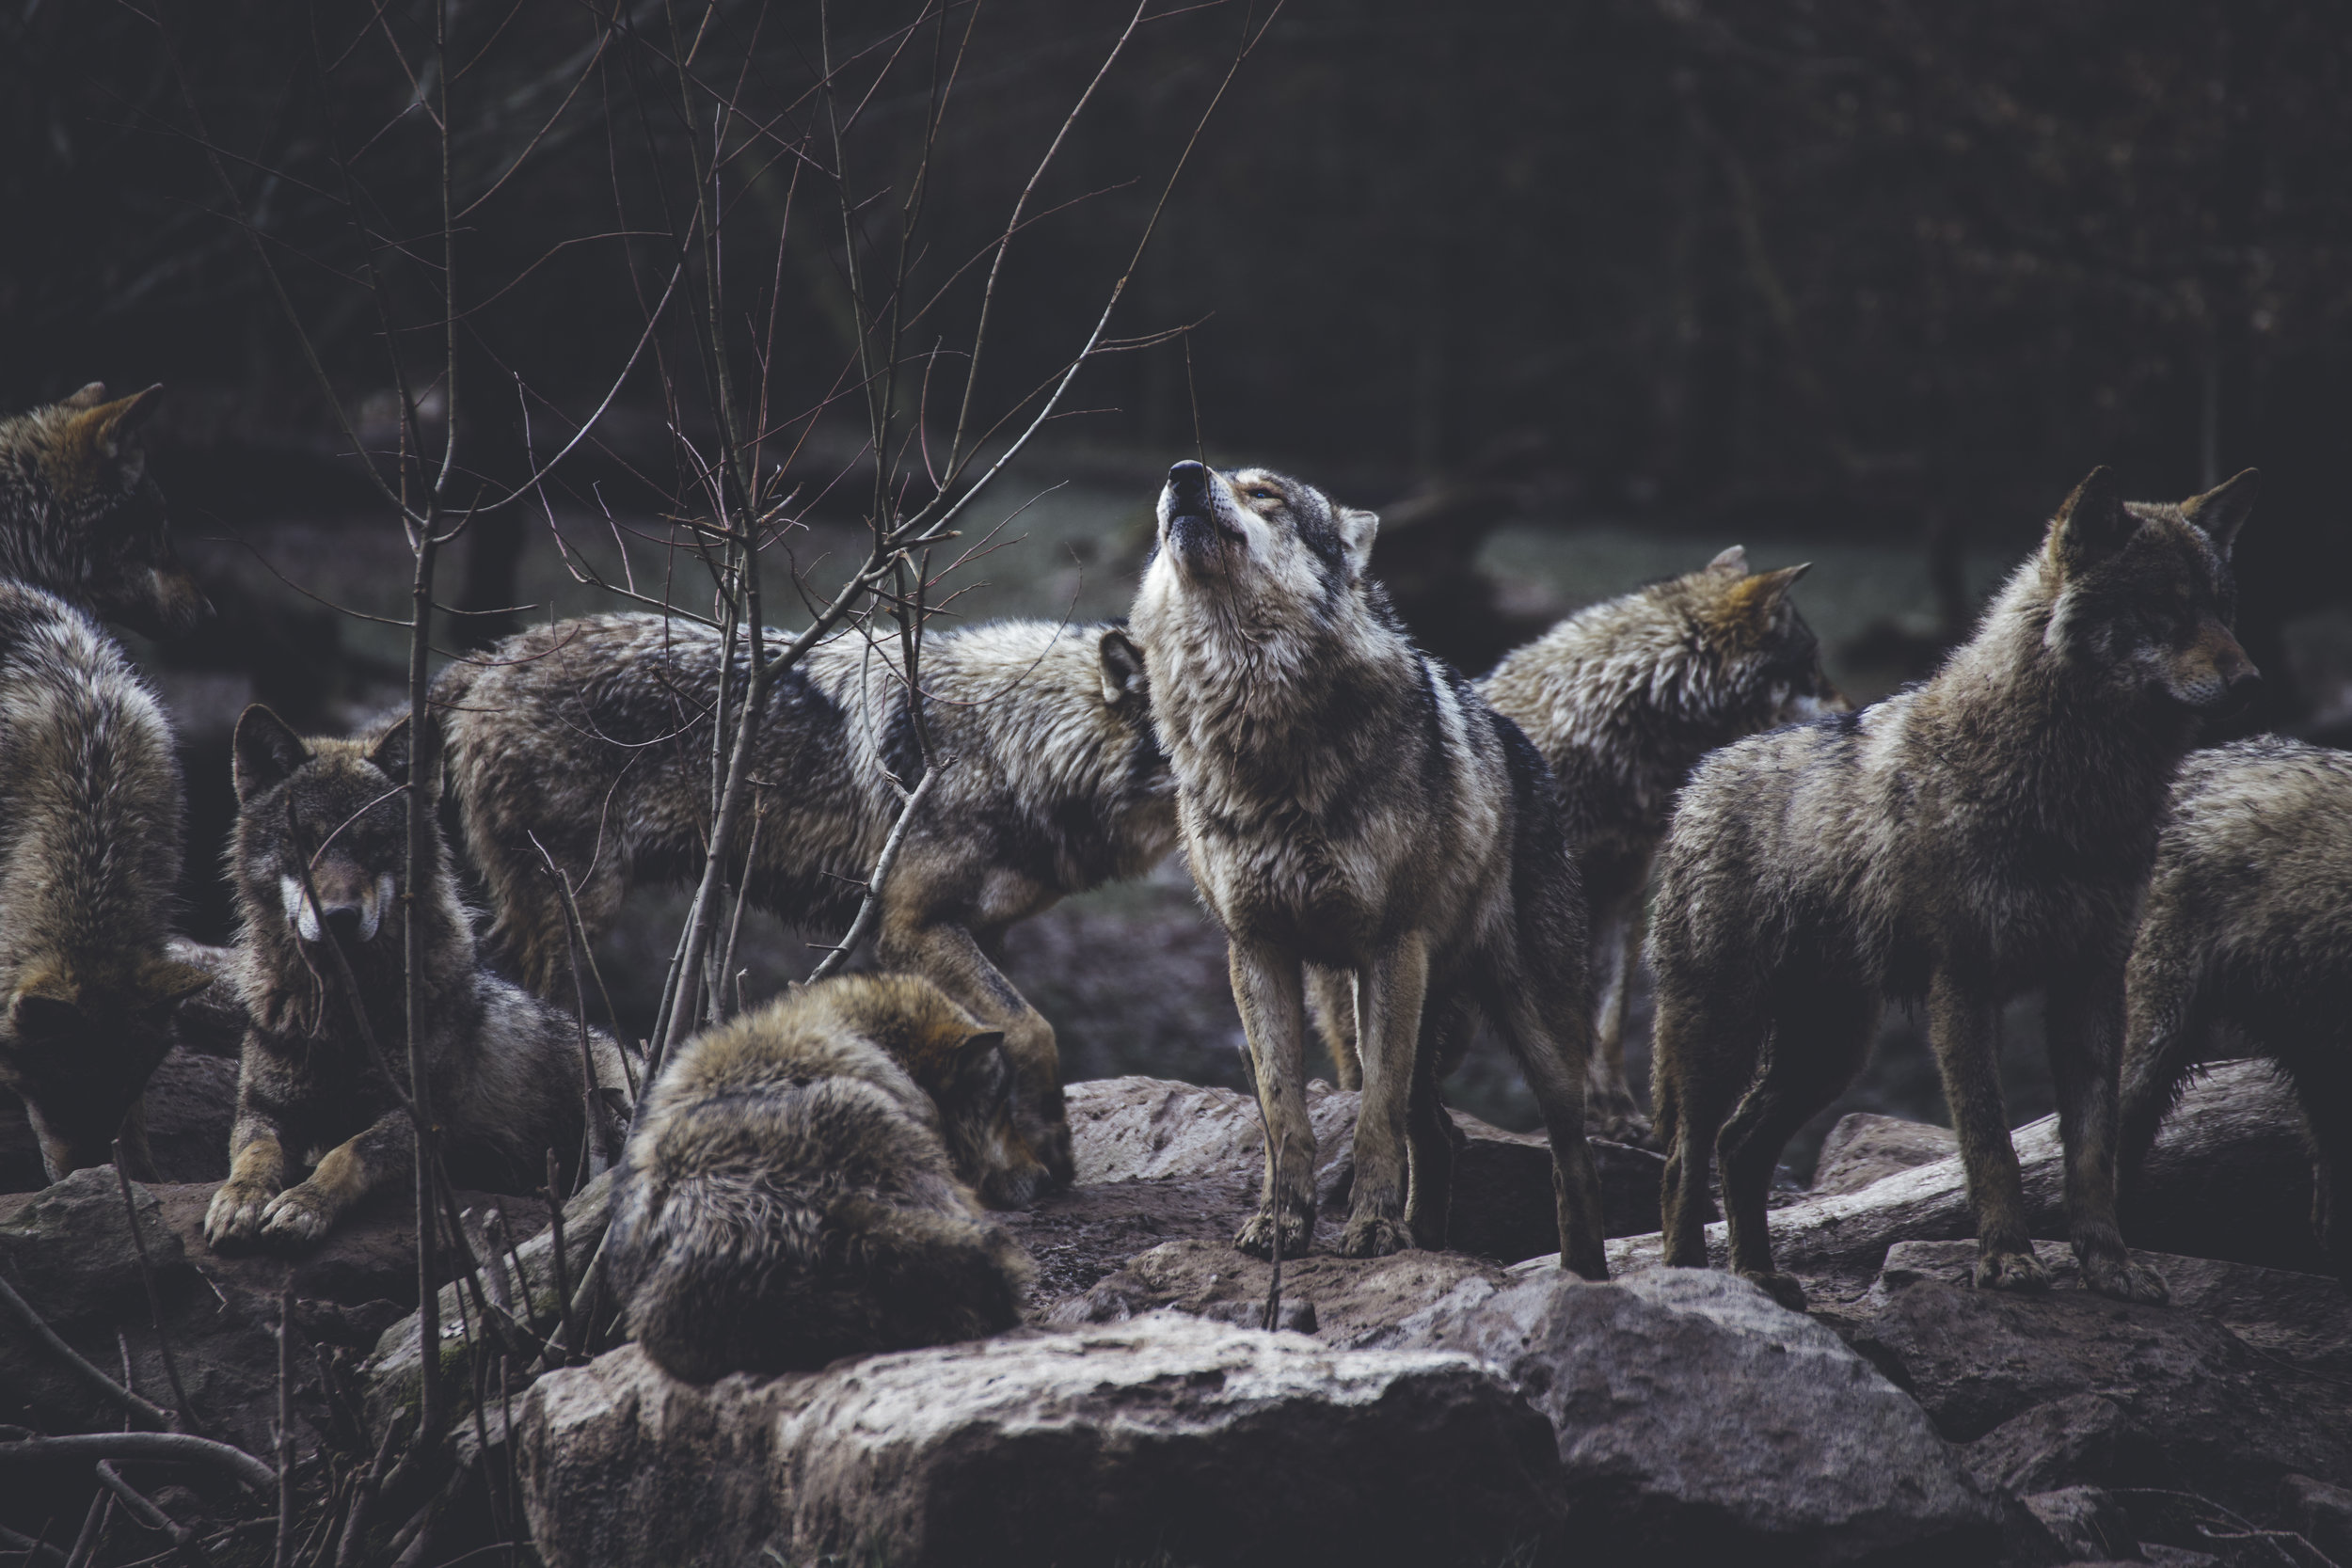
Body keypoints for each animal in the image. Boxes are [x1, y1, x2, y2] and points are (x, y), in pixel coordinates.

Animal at [204, 705, 637, 1249]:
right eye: (305, 840)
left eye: (375, 842)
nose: (339, 917)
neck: (344, 1015)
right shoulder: (263, 1110)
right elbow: (256, 1154)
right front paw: (238, 1199)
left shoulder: (420, 1122)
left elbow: (346, 1153)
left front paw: (304, 1204)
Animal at [435, 613, 1173, 1196]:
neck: (1014, 742)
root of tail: (489, 657)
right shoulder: (911, 927)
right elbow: (1033, 1028)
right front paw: (1051, 1151)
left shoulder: (980, 932)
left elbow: (997, 1041)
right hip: (578, 910)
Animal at [1130, 459, 1608, 1275]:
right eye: (1198, 476)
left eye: (1266, 493)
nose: (1184, 474)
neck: (1258, 727)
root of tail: (1521, 743)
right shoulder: (1256, 949)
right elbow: (1283, 1113)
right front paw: (1282, 1226)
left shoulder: (1389, 946)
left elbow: (1373, 1121)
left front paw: (1375, 1231)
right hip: (1363, 1011)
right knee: (1442, 1135)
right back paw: (1429, 1239)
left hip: (1529, 1029)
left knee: (1569, 1160)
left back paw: (1584, 1274)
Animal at [1319, 547, 1846, 1146]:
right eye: (1812, 667)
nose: (1853, 710)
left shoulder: (1621, 896)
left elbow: (1607, 1026)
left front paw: (1617, 1114)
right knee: (1361, 1068)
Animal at [1649, 467, 2260, 1309]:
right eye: (2164, 607)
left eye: (2223, 608)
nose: (2251, 680)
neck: (2072, 790)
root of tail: (1698, 776)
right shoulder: (1962, 984)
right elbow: (1990, 1141)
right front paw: (2007, 1259)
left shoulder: (2093, 983)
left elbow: (2093, 1152)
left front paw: (2109, 1264)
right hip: (1725, 1033)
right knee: (1687, 1153)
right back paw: (1693, 1280)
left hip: (1830, 1050)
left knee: (1739, 1144)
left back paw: (1760, 1278)